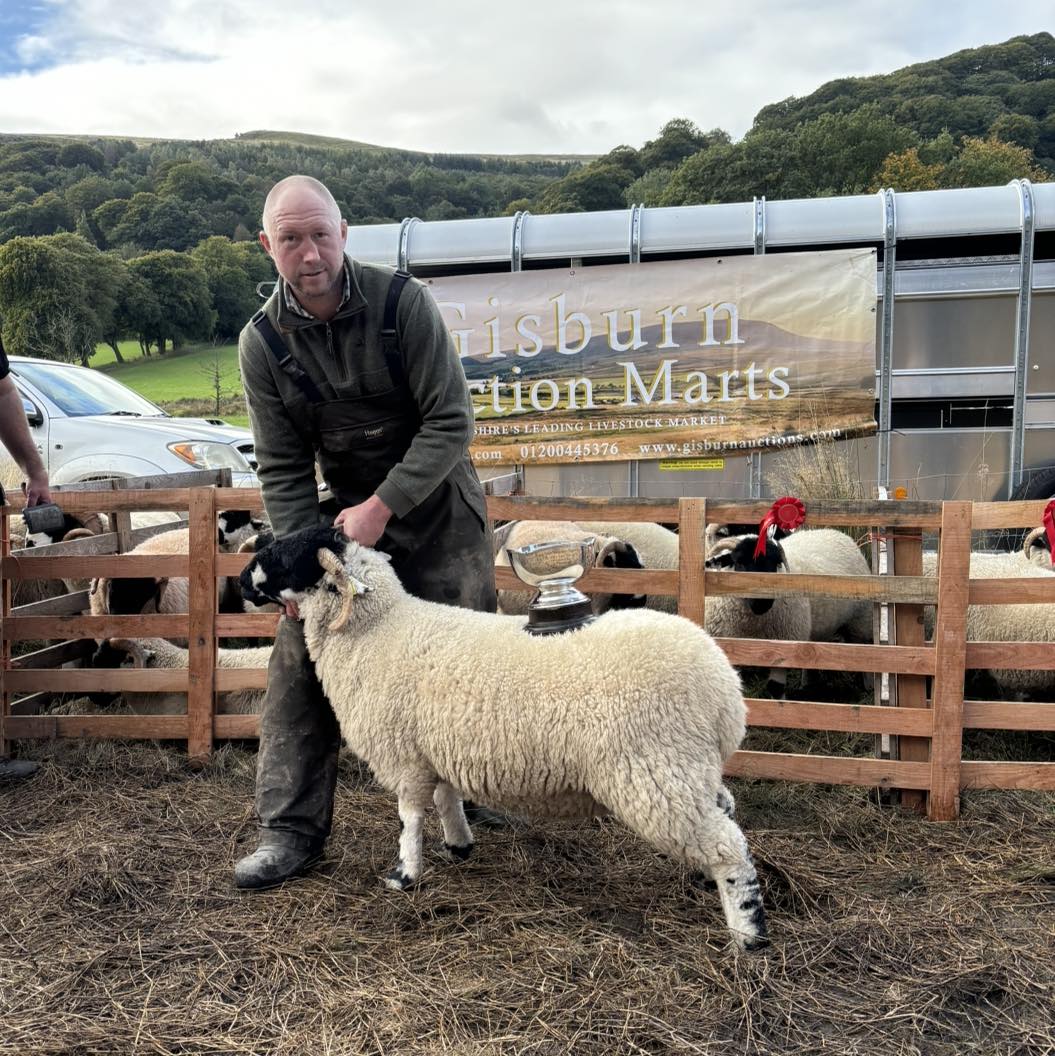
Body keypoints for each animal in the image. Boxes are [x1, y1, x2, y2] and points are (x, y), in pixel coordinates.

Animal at [243, 532, 773, 954]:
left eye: (283, 555)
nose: (246, 579)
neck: (377, 629)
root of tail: (724, 688)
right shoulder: (435, 744)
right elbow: (447, 796)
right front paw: (458, 844)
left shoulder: (405, 755)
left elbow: (410, 817)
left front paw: (405, 874)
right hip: (687, 766)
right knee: (724, 811)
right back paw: (708, 882)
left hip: (654, 772)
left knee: (728, 846)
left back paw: (748, 932)